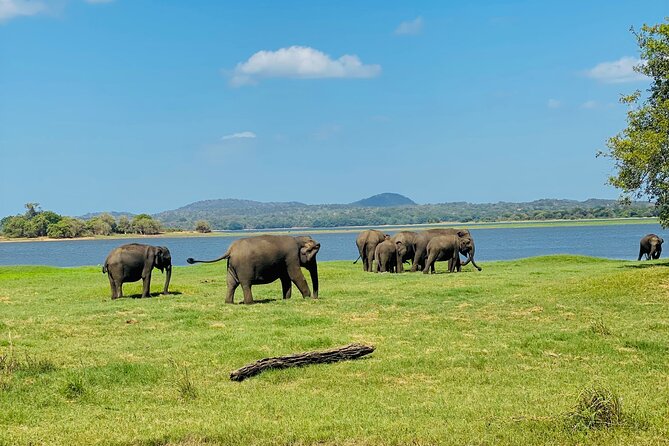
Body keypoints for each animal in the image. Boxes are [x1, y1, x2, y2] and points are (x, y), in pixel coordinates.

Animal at [187, 235, 320, 304]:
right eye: (312, 255)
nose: (315, 298)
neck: (297, 239)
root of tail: (230, 250)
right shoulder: (291, 257)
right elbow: (295, 275)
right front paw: (307, 297)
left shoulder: (284, 261)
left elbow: (285, 279)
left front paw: (286, 299)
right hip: (244, 267)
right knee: (245, 284)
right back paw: (250, 303)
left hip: (230, 267)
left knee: (231, 283)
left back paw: (229, 302)